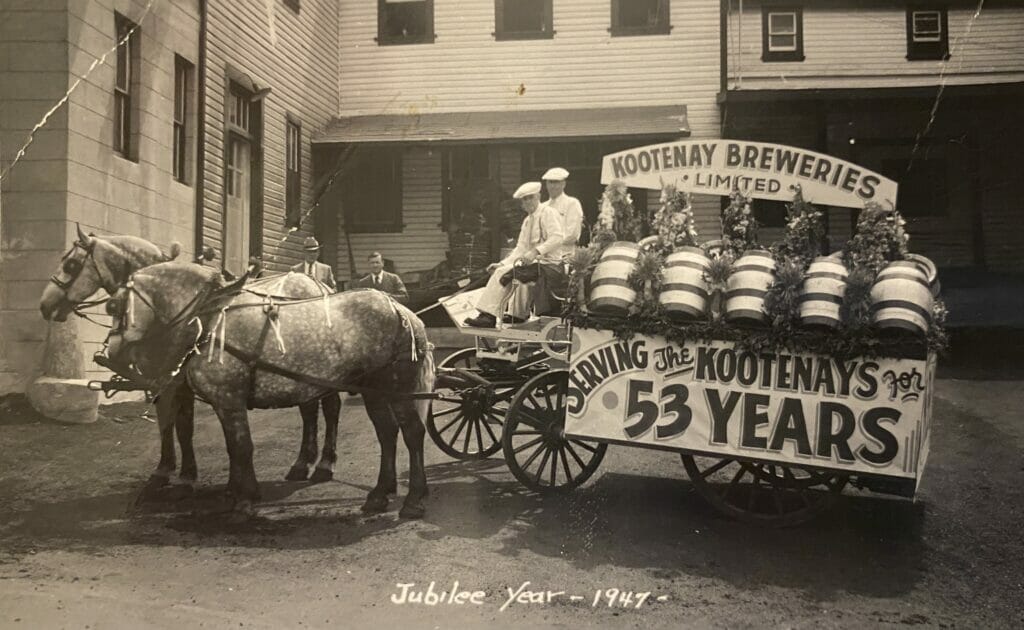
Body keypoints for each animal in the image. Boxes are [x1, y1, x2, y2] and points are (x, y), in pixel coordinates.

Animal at [105, 261, 434, 518]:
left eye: (115, 306)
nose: (110, 353)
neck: (209, 320)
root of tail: (403, 311)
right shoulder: (218, 400)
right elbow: (227, 445)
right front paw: (234, 491)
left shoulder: (228, 398)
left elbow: (242, 446)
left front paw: (245, 498)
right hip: (373, 389)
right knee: (386, 432)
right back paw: (379, 494)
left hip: (397, 386)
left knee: (411, 432)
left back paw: (412, 499)